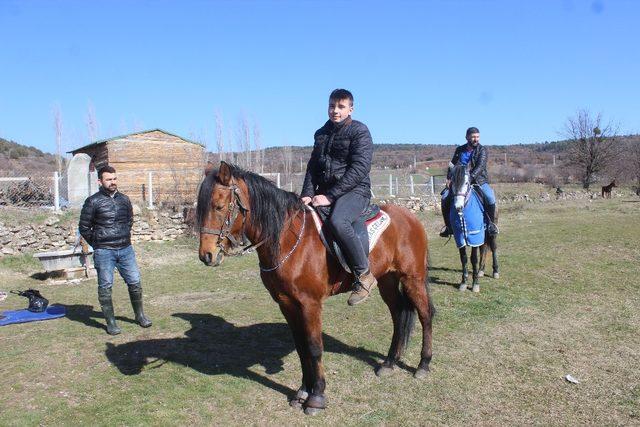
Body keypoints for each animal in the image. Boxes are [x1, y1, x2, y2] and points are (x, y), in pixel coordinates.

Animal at [196, 162, 436, 416]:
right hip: (387, 281)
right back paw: (389, 363)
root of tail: (411, 217)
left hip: (413, 278)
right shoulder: (286, 303)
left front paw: (317, 397)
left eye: (219, 207)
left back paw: (423, 365)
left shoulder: (310, 304)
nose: (206, 255)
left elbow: (313, 348)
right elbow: (301, 348)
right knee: (399, 314)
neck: (288, 239)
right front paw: (302, 391)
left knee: (425, 315)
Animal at [444, 165, 500, 294]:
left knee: (493, 247)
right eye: (452, 182)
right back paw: (481, 271)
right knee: (484, 248)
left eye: (466, 182)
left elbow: (473, 258)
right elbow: (463, 258)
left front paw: (475, 284)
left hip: (490, 233)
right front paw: (463, 283)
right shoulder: (459, 237)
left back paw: (495, 271)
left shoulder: (474, 235)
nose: (458, 206)